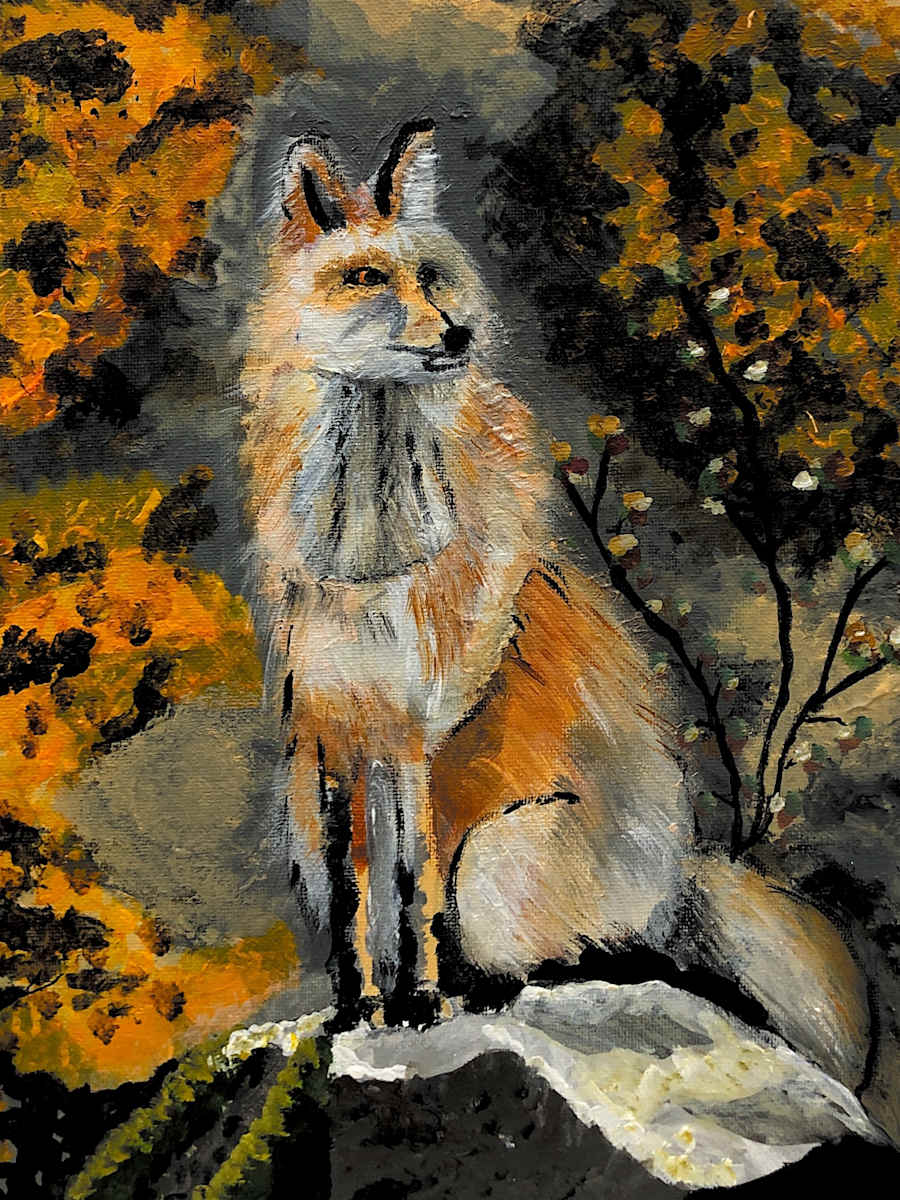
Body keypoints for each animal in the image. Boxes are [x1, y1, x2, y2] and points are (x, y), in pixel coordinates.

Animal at [240, 119, 870, 1087]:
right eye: (369, 279)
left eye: (436, 277)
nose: (459, 331)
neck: (371, 554)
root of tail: (680, 873)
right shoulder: (331, 733)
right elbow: (356, 905)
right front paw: (357, 1011)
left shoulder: (426, 734)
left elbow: (414, 892)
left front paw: (418, 1006)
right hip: (322, 816)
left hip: (498, 864)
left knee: (605, 958)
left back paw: (509, 982)